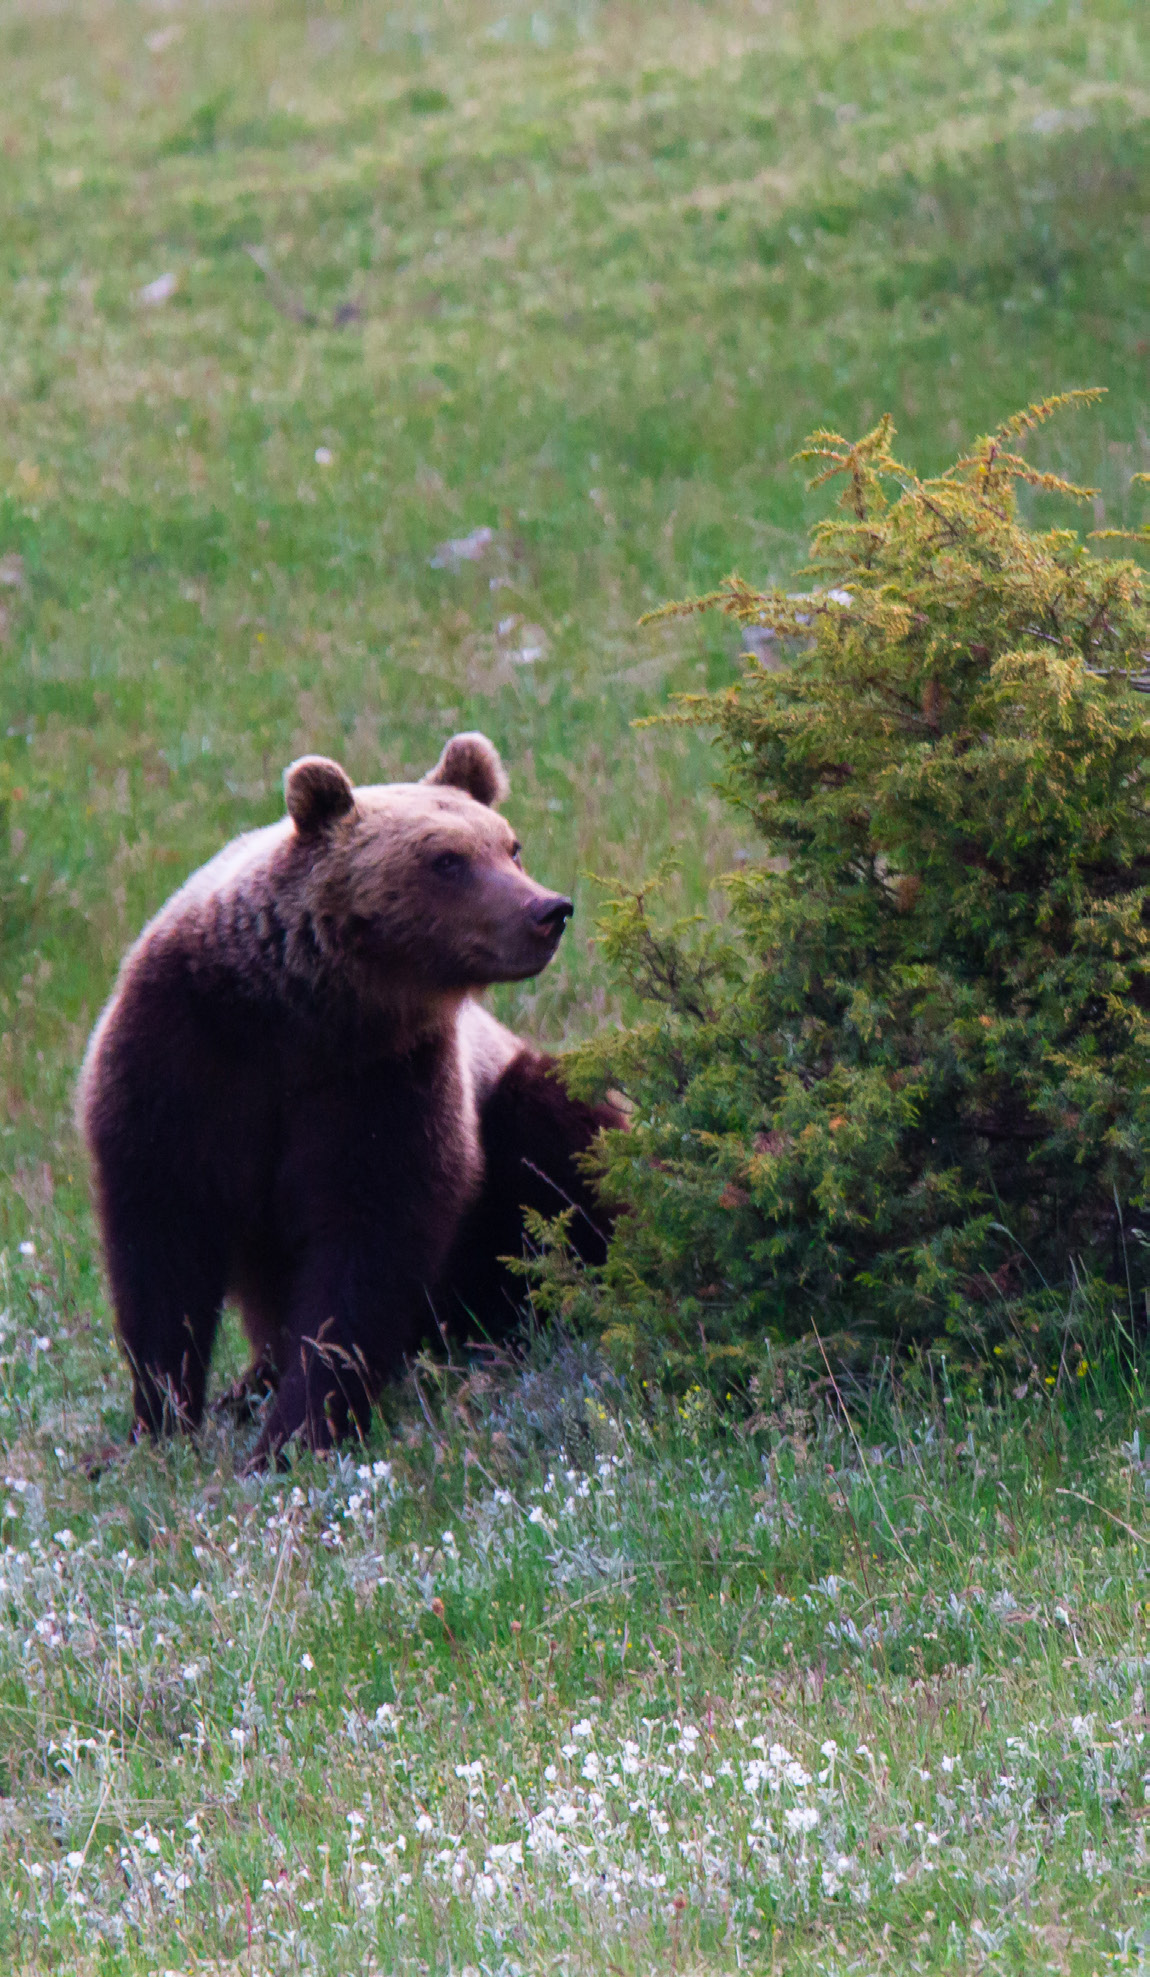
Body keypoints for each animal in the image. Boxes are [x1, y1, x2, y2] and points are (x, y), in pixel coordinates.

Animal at [77, 732, 622, 1465]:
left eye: (510, 846)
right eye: (447, 859)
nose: (548, 910)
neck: (302, 1010)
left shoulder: (382, 1080)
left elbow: (367, 1240)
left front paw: (295, 1432)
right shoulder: (184, 1055)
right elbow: (162, 1240)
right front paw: (157, 1425)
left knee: (570, 1137)